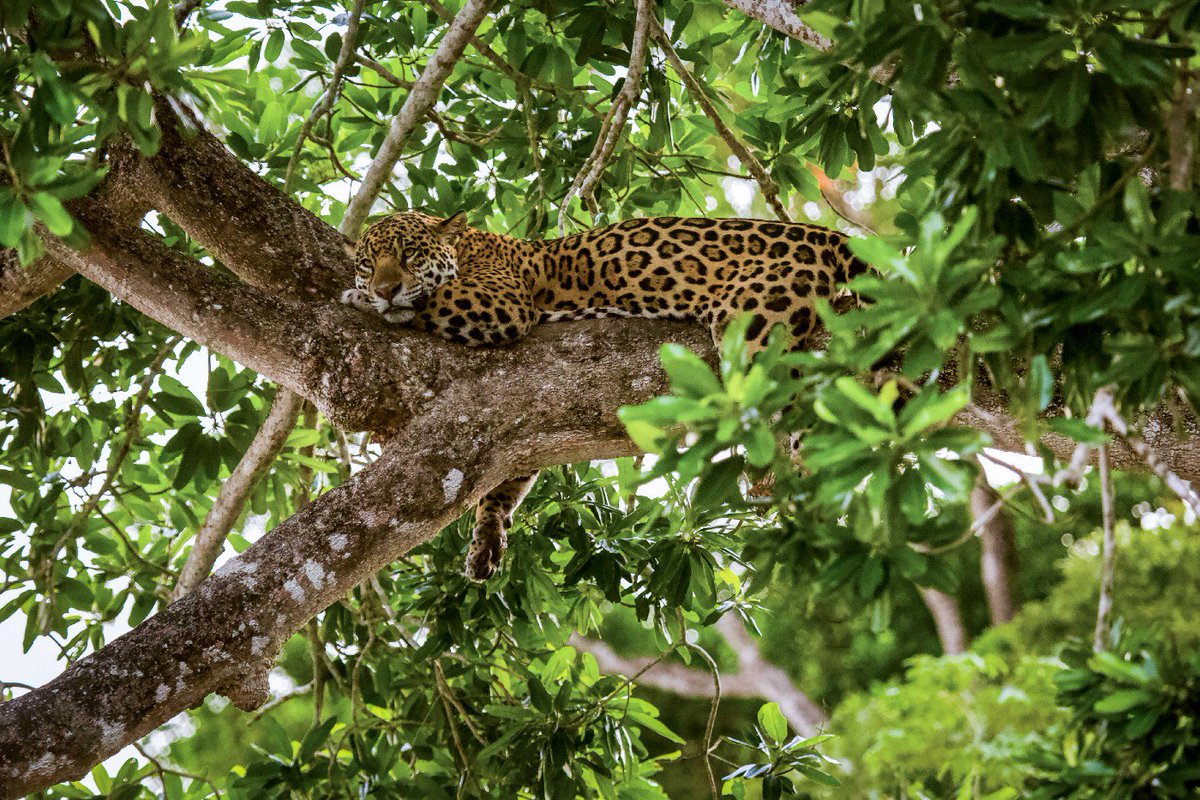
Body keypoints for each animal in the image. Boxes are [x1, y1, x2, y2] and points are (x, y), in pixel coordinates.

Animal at [342, 211, 869, 582]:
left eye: (410, 255)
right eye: (368, 262)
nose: (385, 287)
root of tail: (828, 234)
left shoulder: (499, 303)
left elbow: (429, 299)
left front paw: (362, 299)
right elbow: (506, 483)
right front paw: (486, 540)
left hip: (755, 326)